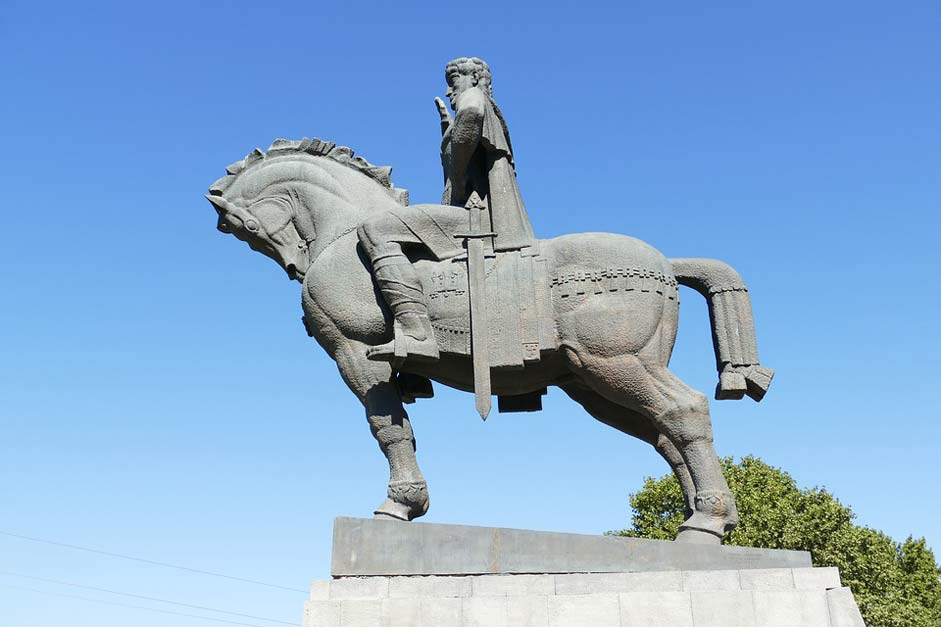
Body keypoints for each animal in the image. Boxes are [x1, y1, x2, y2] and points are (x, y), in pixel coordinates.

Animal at [206, 137, 772, 544]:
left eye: (238, 224)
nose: (295, 266)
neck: (344, 232)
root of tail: (666, 265)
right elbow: (398, 427)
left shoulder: (355, 354)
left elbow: (388, 428)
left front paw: (401, 505)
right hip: (596, 384)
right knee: (665, 435)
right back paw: (704, 521)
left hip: (615, 363)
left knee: (685, 413)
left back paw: (706, 524)